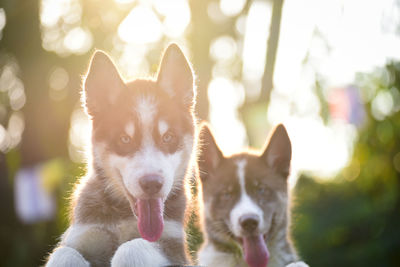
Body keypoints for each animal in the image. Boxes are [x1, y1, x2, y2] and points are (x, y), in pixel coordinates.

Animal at [45, 44, 197, 267]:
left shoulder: (174, 247)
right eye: (125, 139)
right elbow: (63, 254)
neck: (123, 216)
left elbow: (132, 247)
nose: (152, 184)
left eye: (168, 137)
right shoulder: (82, 235)